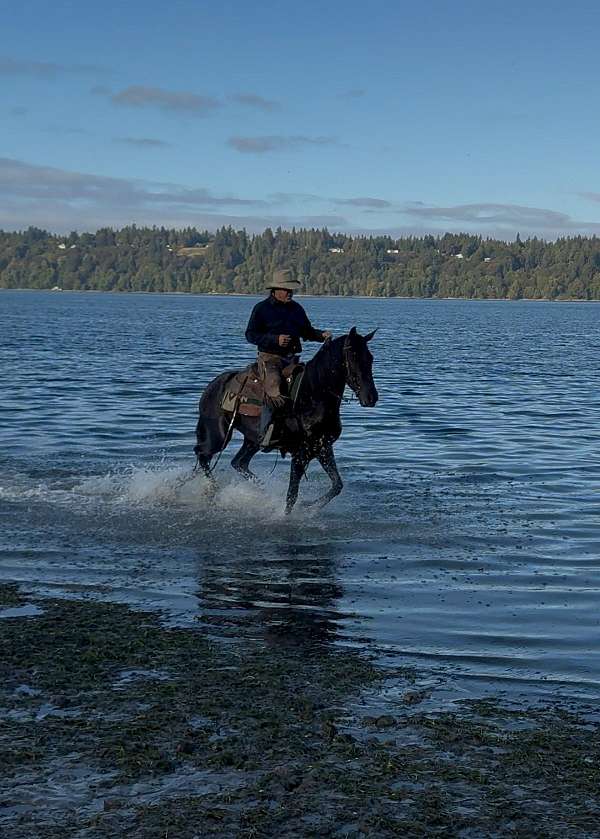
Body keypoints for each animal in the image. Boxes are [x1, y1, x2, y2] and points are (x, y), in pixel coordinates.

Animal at [195, 326, 378, 512]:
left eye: (370, 357)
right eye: (353, 356)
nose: (371, 397)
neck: (313, 394)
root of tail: (211, 386)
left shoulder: (323, 448)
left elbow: (336, 485)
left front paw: (309, 505)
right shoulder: (300, 453)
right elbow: (292, 495)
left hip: (252, 440)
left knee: (238, 462)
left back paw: (262, 492)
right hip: (218, 435)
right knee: (202, 454)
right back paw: (212, 490)